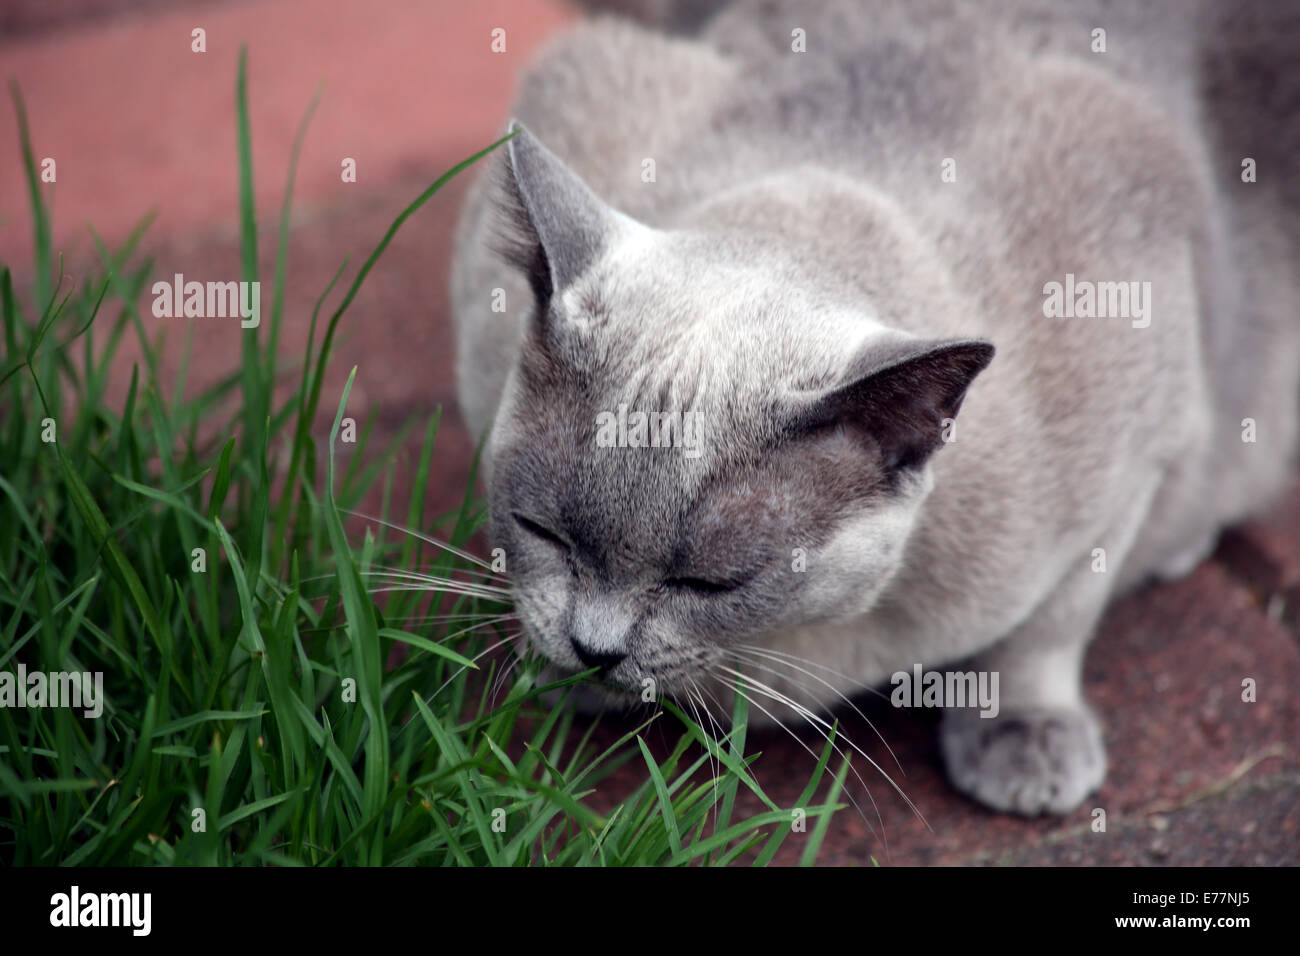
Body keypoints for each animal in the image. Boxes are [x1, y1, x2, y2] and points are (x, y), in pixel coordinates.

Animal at [449, 0, 1300, 816]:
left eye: (710, 583)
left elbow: (1046, 631)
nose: (596, 651)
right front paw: (560, 680)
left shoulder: (1137, 457)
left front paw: (1025, 742)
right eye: (541, 531)